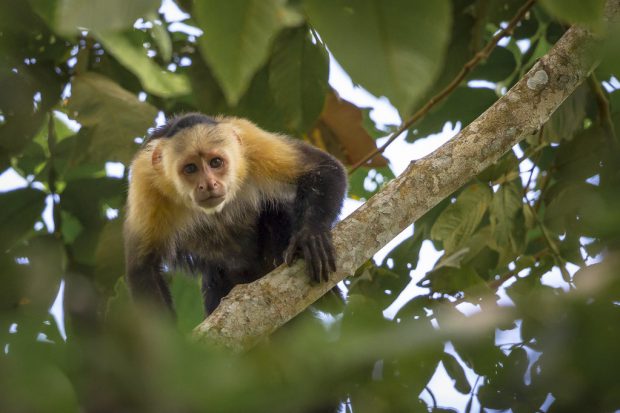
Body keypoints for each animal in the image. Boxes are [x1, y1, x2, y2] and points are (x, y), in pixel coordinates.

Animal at [121, 114, 348, 314]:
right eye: (190, 168)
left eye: (215, 163)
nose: (209, 184)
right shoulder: (145, 178)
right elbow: (143, 267)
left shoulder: (249, 141)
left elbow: (323, 167)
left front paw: (311, 235)